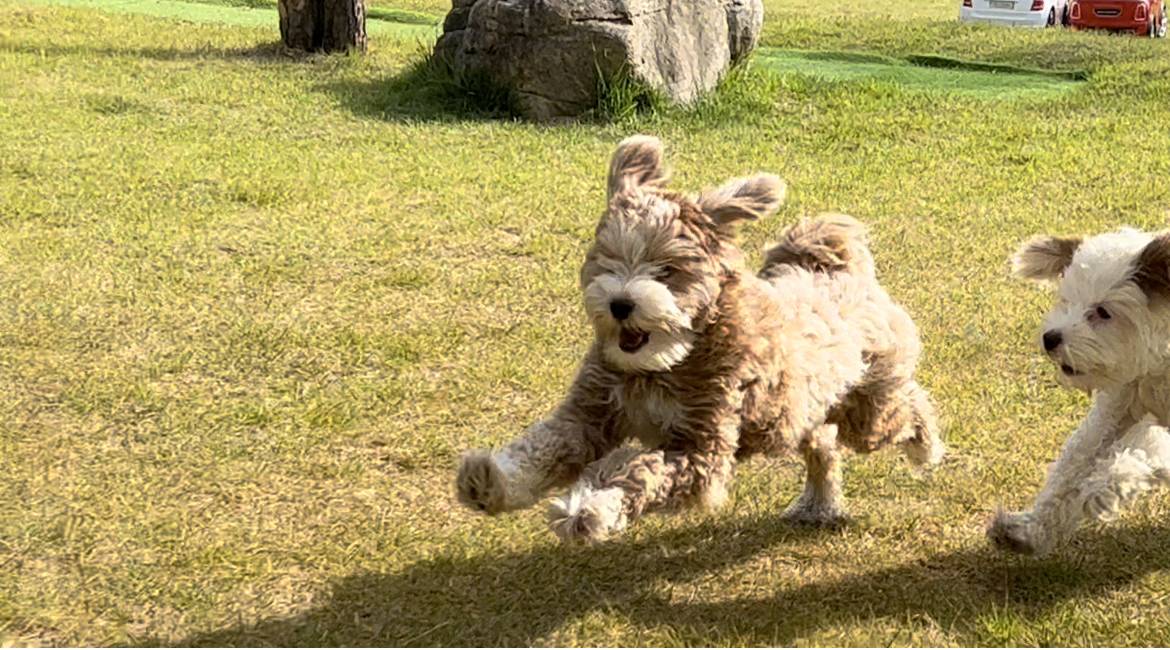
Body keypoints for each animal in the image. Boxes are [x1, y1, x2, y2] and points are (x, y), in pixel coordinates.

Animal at [451, 134, 945, 540]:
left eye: (667, 269)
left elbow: (636, 472)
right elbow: (544, 448)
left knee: (908, 407)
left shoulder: (702, 451)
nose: (620, 304)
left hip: (869, 412)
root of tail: (838, 267)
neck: (664, 364)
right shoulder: (590, 414)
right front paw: (491, 482)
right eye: (606, 261)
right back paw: (818, 504)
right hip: (799, 413)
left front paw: (590, 508)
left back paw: (927, 448)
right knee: (824, 447)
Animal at [987, 226, 1170, 554]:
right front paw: (1030, 530)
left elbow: (1134, 456)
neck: (1157, 367)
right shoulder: (1118, 407)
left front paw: (1101, 490)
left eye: (1103, 311)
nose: (1050, 338)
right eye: (1066, 300)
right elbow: (1072, 464)